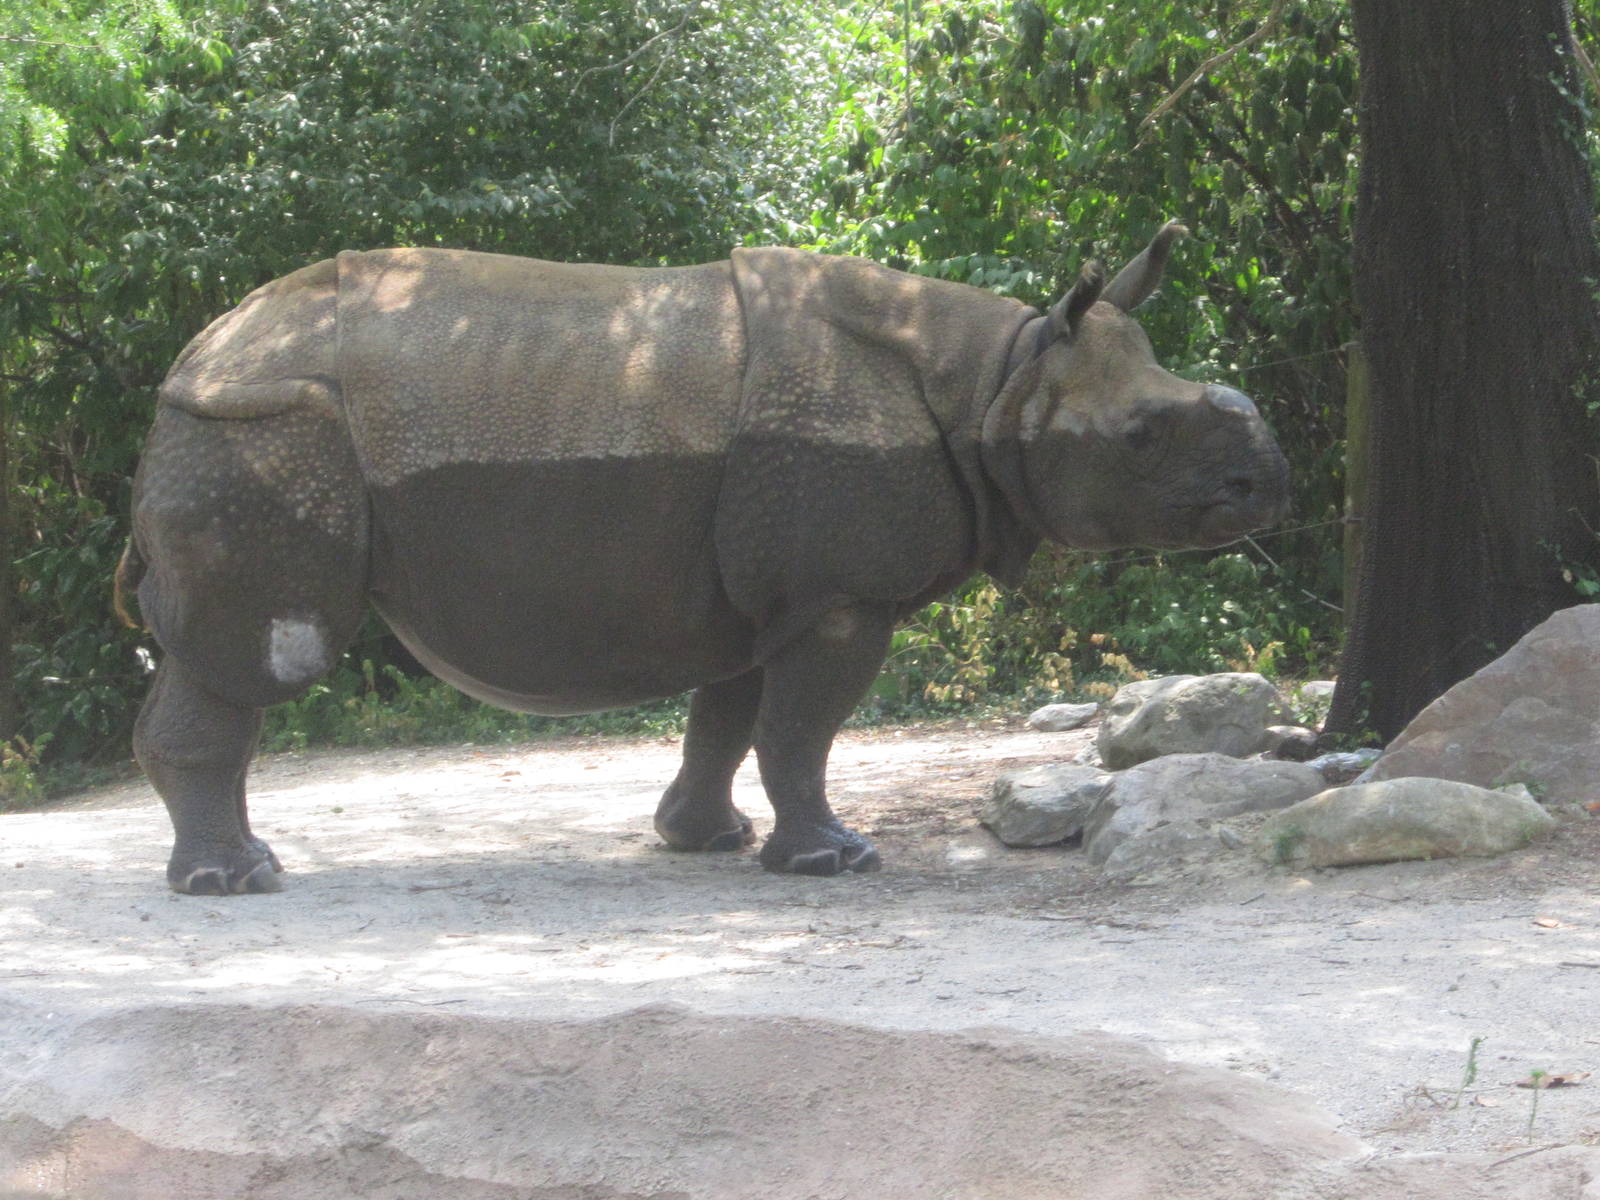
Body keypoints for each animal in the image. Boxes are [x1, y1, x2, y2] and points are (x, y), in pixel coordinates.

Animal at [118, 221, 1288, 893]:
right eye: (1141, 436)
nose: (1266, 483)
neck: (999, 378)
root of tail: (192, 356)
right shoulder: (838, 592)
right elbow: (801, 730)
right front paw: (832, 862)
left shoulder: (761, 588)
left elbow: (729, 720)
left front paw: (707, 841)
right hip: (262, 427)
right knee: (261, 653)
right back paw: (237, 883)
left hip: (247, 421)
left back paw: (225, 873)